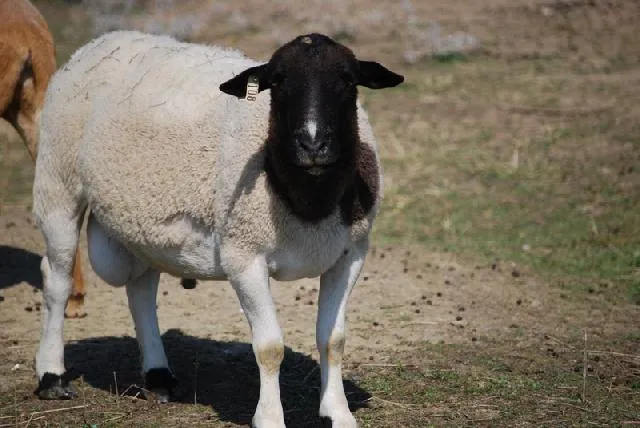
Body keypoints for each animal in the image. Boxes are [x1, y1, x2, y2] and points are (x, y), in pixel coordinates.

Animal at [32, 30, 402, 428]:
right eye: (277, 82)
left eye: (348, 80)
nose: (313, 143)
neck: (309, 201)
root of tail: (103, 40)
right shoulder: (244, 256)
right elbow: (269, 347)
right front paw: (270, 418)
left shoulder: (349, 256)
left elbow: (333, 340)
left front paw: (338, 412)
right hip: (58, 181)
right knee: (57, 279)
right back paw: (51, 376)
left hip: (144, 224)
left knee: (141, 289)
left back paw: (158, 376)